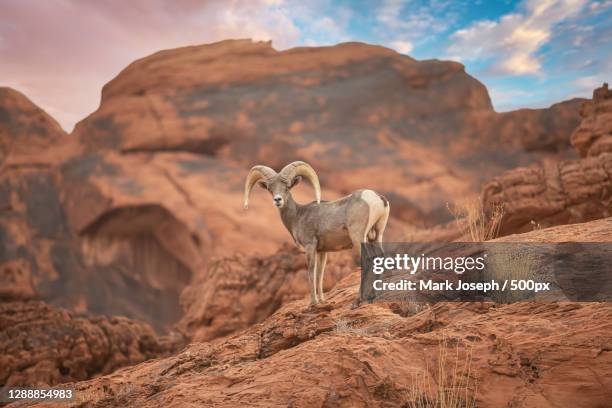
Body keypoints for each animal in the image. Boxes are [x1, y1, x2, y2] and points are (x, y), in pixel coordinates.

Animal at [243, 161, 390, 304]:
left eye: (287, 187)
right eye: (270, 188)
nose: (277, 200)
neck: (298, 216)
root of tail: (378, 199)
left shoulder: (310, 246)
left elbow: (311, 272)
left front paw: (313, 303)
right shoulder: (322, 251)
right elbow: (320, 274)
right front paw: (322, 300)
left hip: (358, 237)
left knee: (367, 262)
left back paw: (358, 299)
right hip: (376, 236)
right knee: (379, 259)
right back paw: (373, 295)